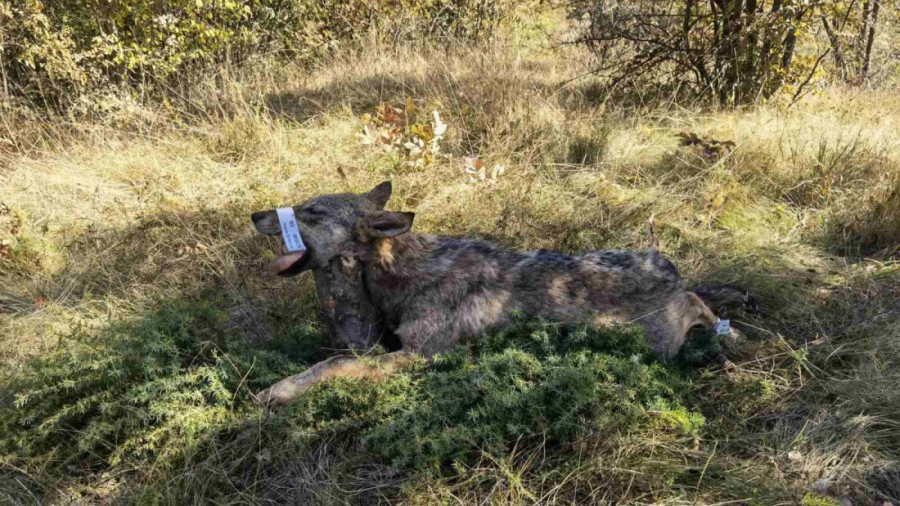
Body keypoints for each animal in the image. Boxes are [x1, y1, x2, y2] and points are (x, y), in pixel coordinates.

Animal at [250, 182, 748, 408]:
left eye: (311, 211)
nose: (254, 214)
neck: (401, 270)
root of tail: (668, 268)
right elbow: (336, 356)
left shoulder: (419, 356)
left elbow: (334, 365)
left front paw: (278, 389)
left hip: (651, 335)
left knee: (700, 305)